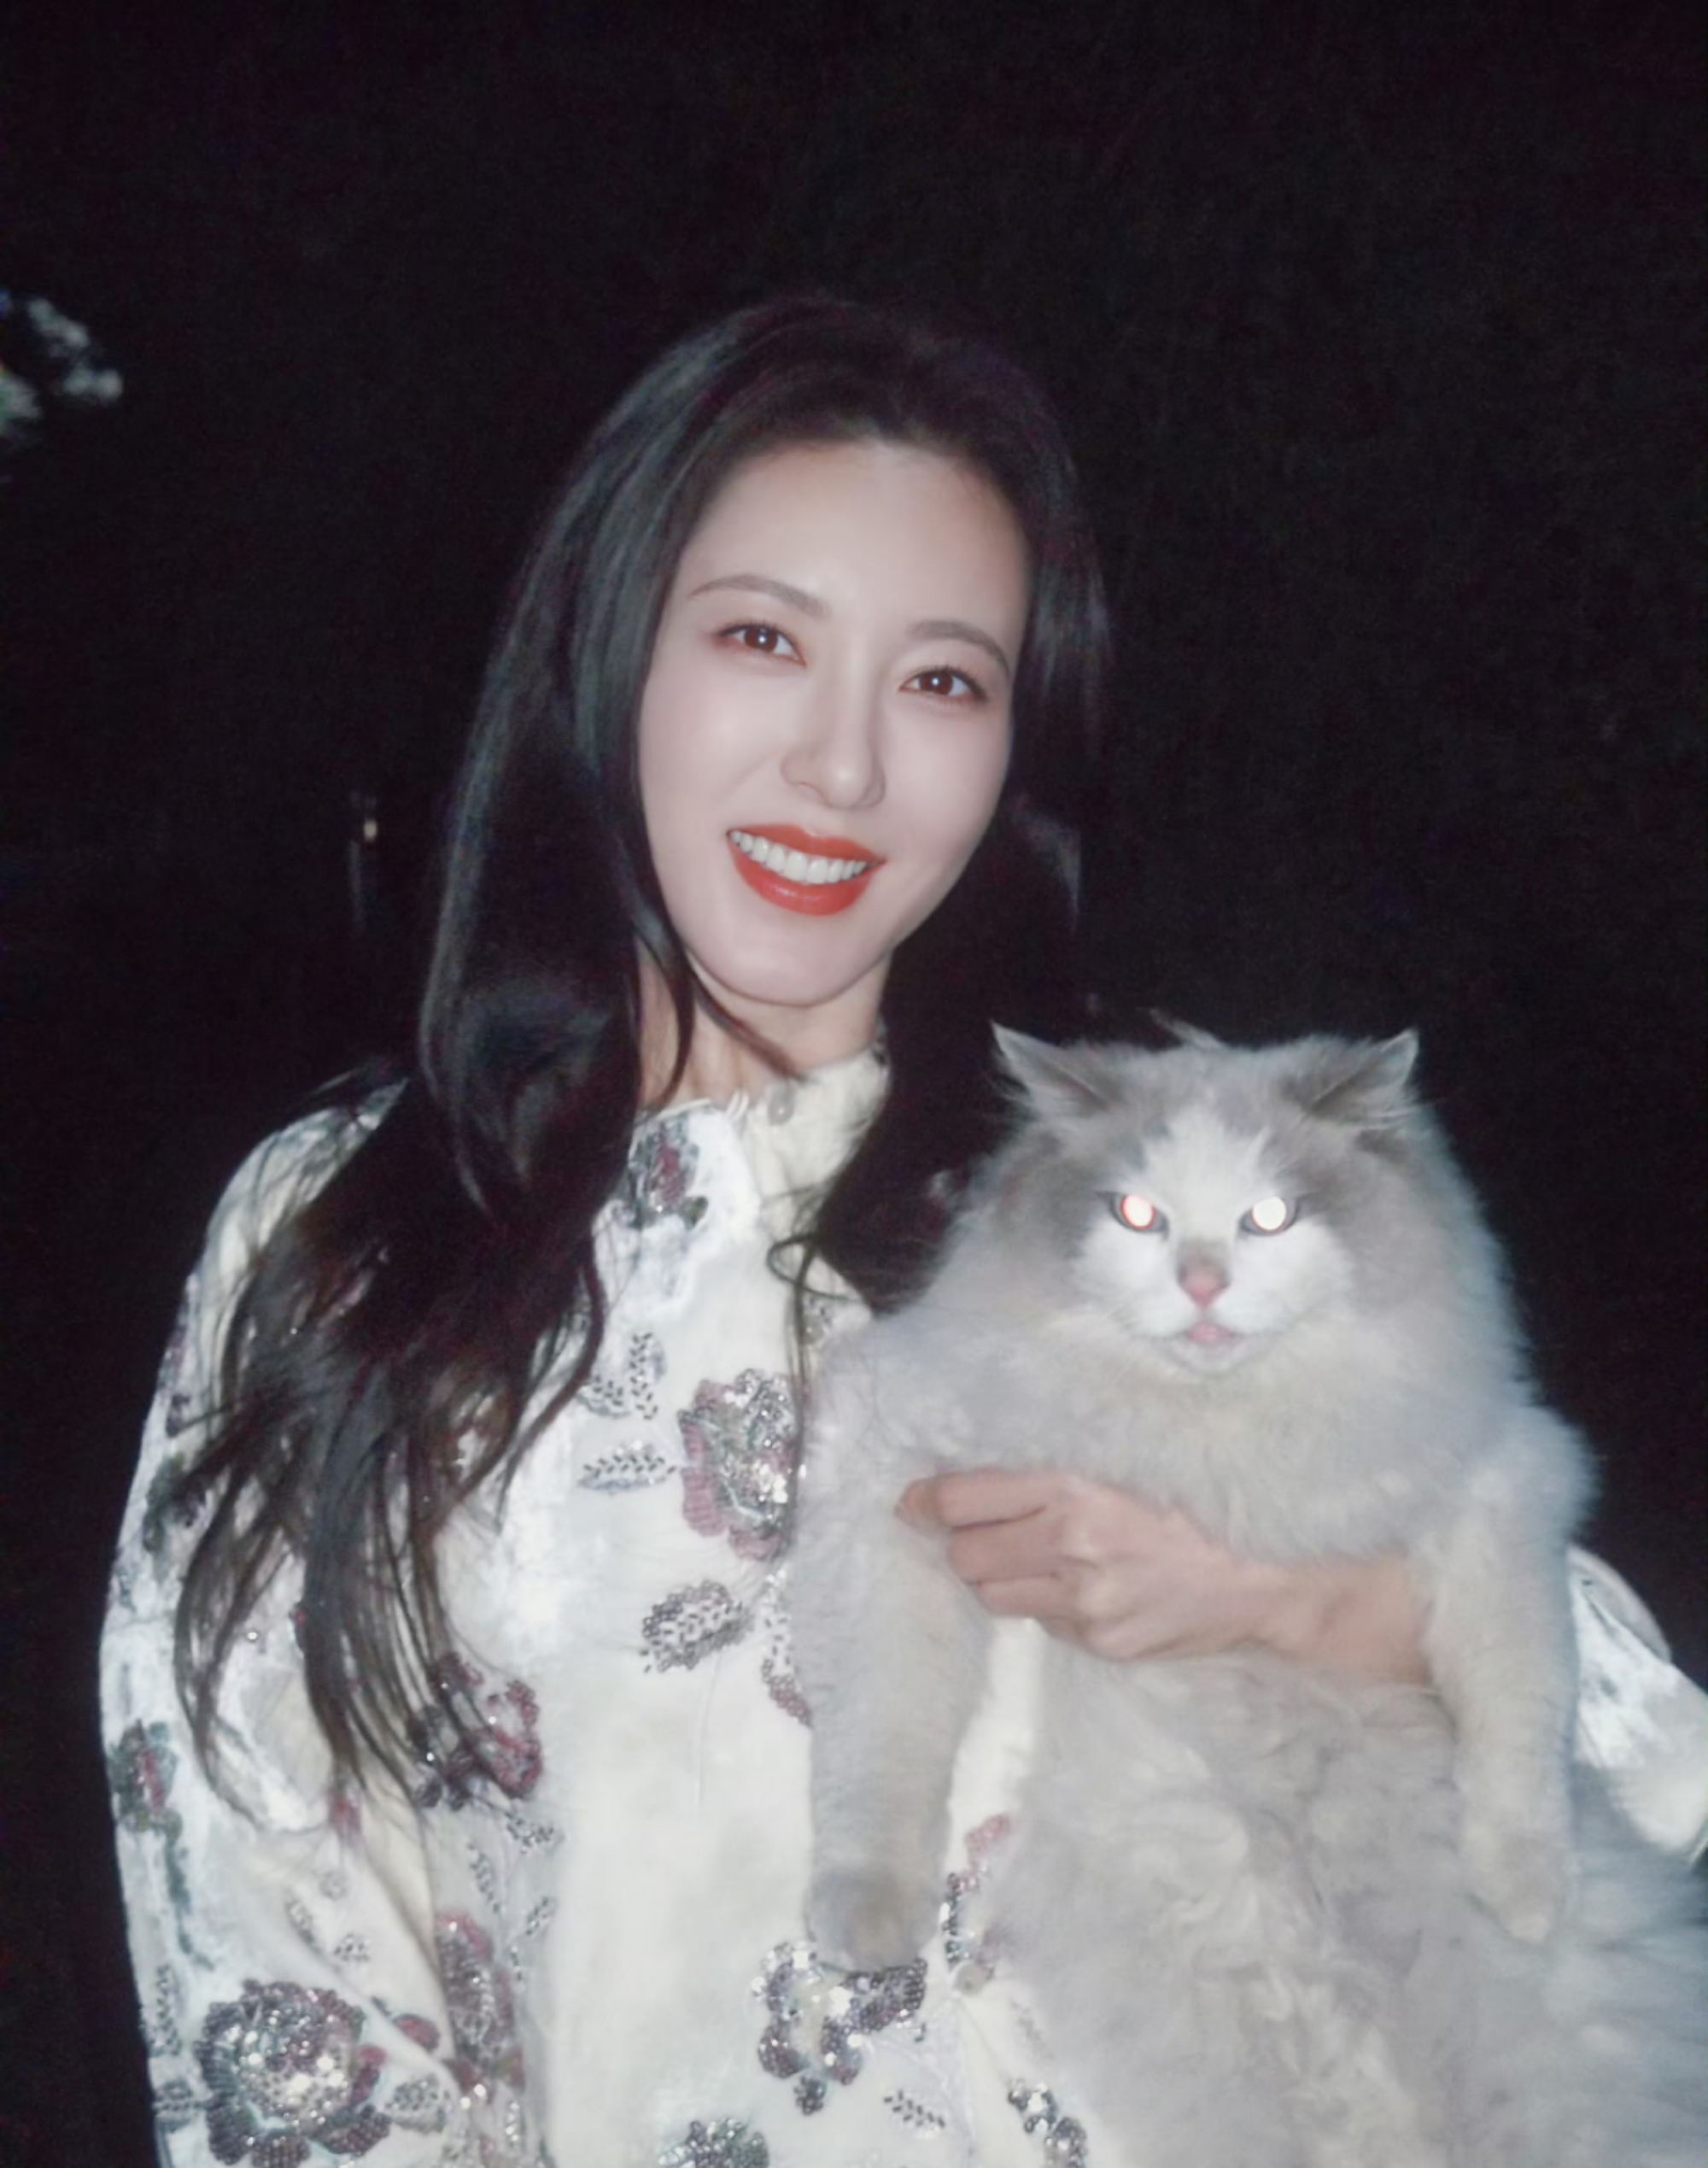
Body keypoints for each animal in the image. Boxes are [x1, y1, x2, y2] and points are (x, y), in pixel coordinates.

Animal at [790, 1027, 1708, 2167]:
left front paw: (1525, 1889)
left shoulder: (1501, 1486)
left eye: (1268, 1217)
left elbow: (1516, 1710)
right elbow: (879, 1745)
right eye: (1135, 1213)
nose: (1199, 1282)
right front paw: (864, 1914)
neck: (1205, 1434)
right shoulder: (890, 1479)